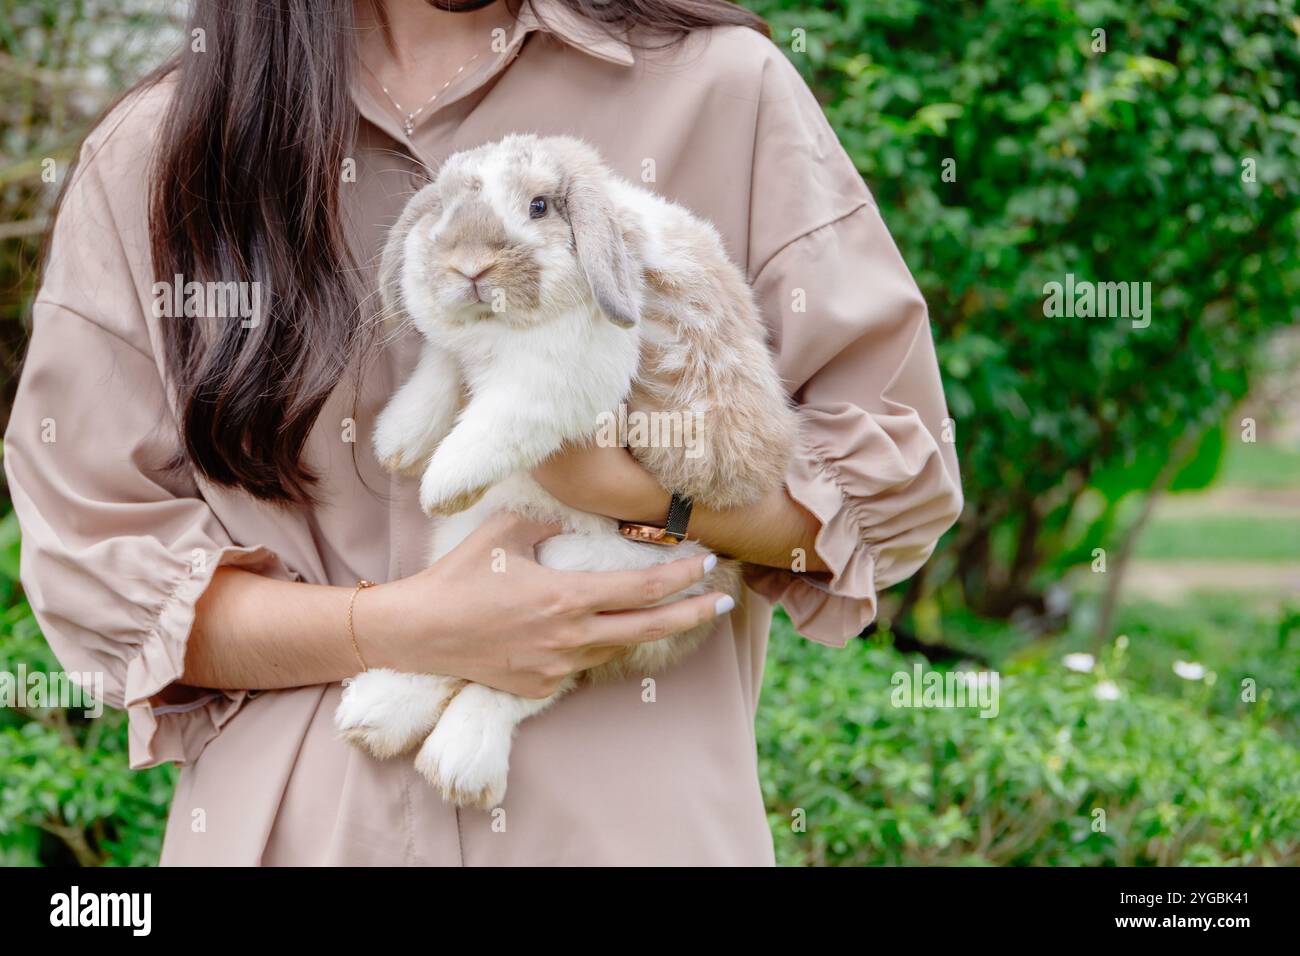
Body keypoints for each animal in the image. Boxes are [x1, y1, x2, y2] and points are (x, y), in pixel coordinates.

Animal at [334, 133, 797, 809]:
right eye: (443, 209)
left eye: (539, 207)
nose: (470, 267)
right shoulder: (463, 351)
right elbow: (443, 363)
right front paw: (399, 440)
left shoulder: (568, 370)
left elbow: (507, 410)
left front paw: (442, 482)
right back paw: (381, 711)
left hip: (607, 582)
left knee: (521, 683)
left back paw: (451, 759)